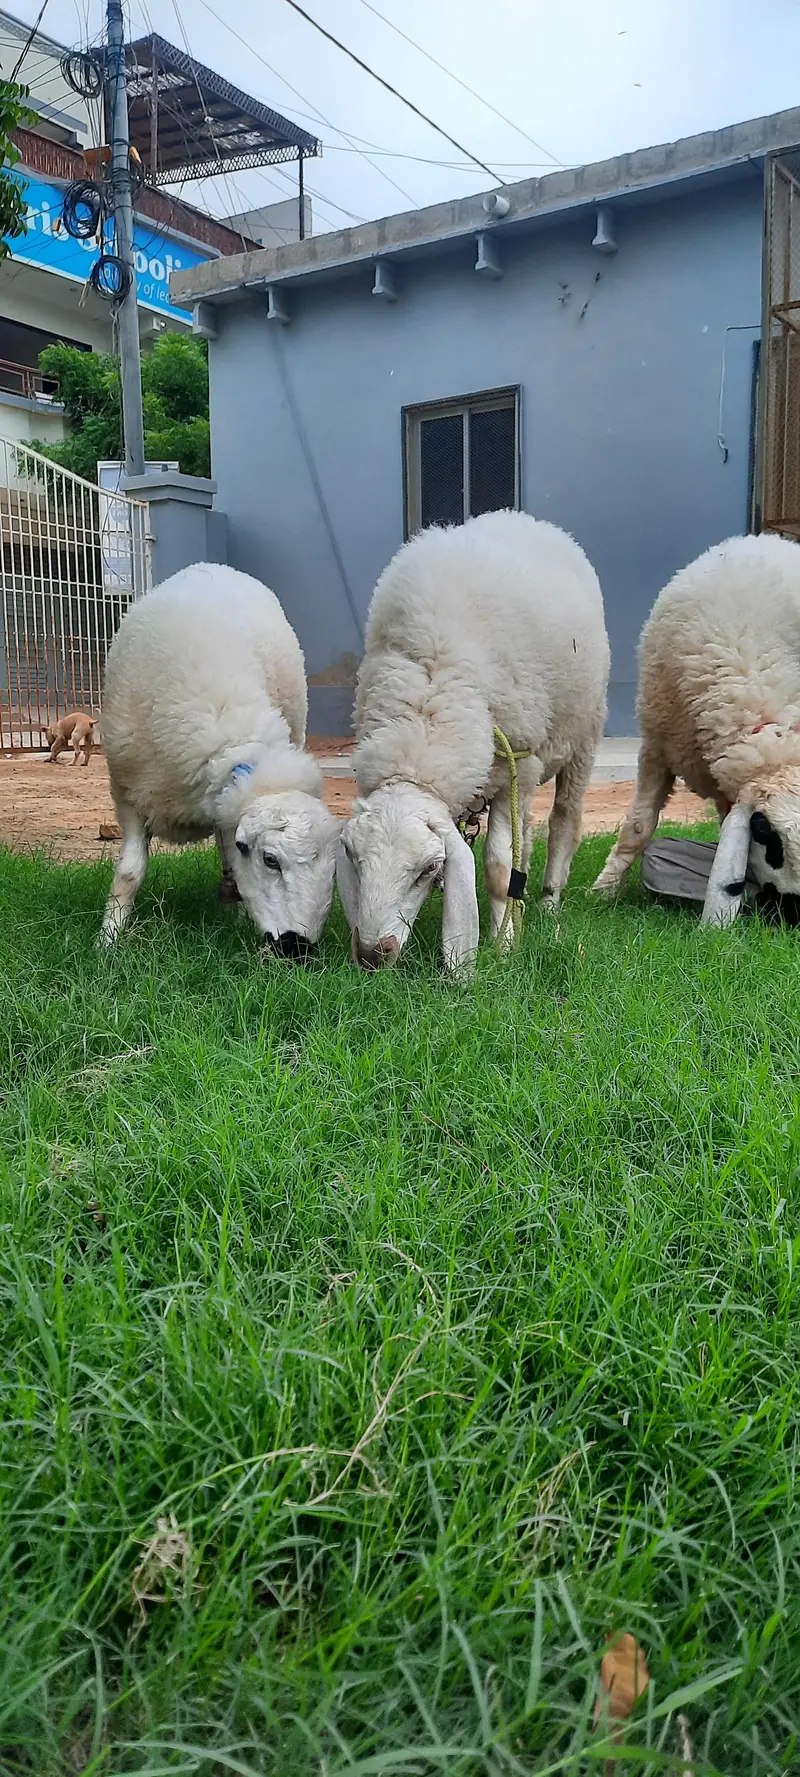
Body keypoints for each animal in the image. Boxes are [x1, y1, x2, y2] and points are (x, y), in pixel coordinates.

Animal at [100, 561, 340, 954]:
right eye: (270, 860)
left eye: (335, 867)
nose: (298, 948)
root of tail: (213, 566)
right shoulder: (127, 792)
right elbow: (129, 872)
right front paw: (108, 942)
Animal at [337, 510, 611, 972]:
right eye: (353, 858)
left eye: (429, 868)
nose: (373, 954)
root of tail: (522, 517)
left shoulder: (517, 765)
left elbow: (501, 871)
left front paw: (504, 947)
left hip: (583, 733)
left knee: (564, 821)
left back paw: (549, 901)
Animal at [592, 533, 800, 924]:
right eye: (765, 832)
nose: (793, 916)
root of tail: (759, 537)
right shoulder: (657, 748)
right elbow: (638, 827)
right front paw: (603, 891)